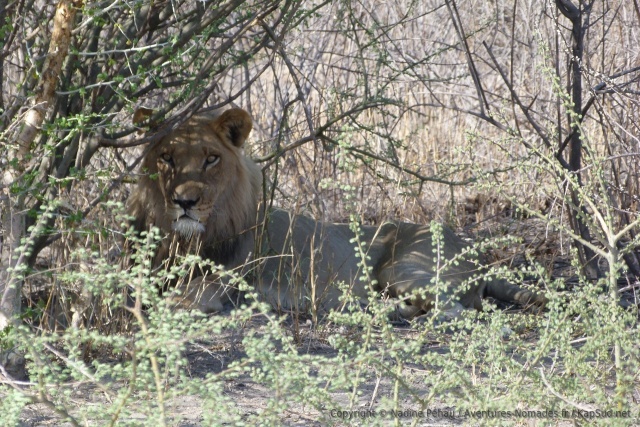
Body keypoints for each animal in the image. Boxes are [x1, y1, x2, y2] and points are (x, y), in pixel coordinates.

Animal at [127, 108, 546, 322]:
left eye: (211, 159)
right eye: (166, 158)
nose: (184, 201)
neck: (189, 235)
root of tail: (480, 257)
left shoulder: (221, 281)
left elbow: (172, 299)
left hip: (405, 269)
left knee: (455, 311)